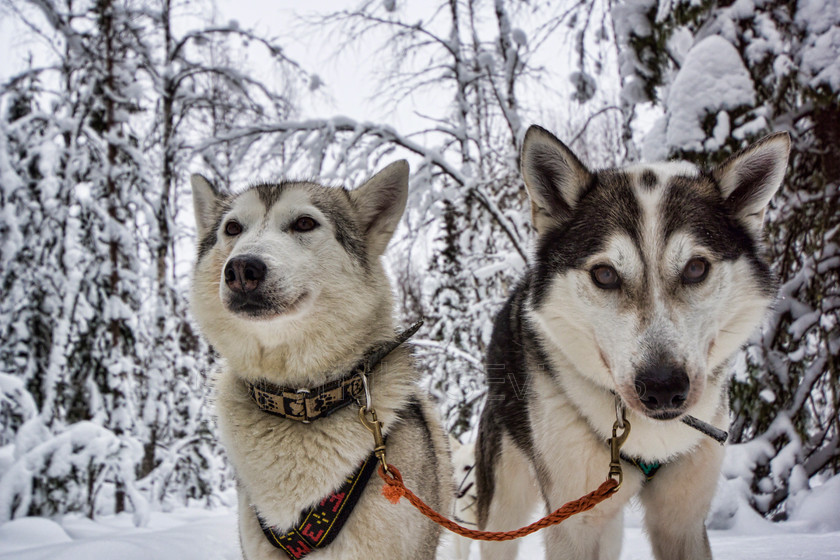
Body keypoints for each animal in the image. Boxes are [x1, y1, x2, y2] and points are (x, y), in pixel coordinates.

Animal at [476, 127, 792, 560]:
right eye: (605, 274)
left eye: (696, 268)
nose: (663, 388)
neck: (651, 439)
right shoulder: (572, 523)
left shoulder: (681, 522)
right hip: (505, 506)